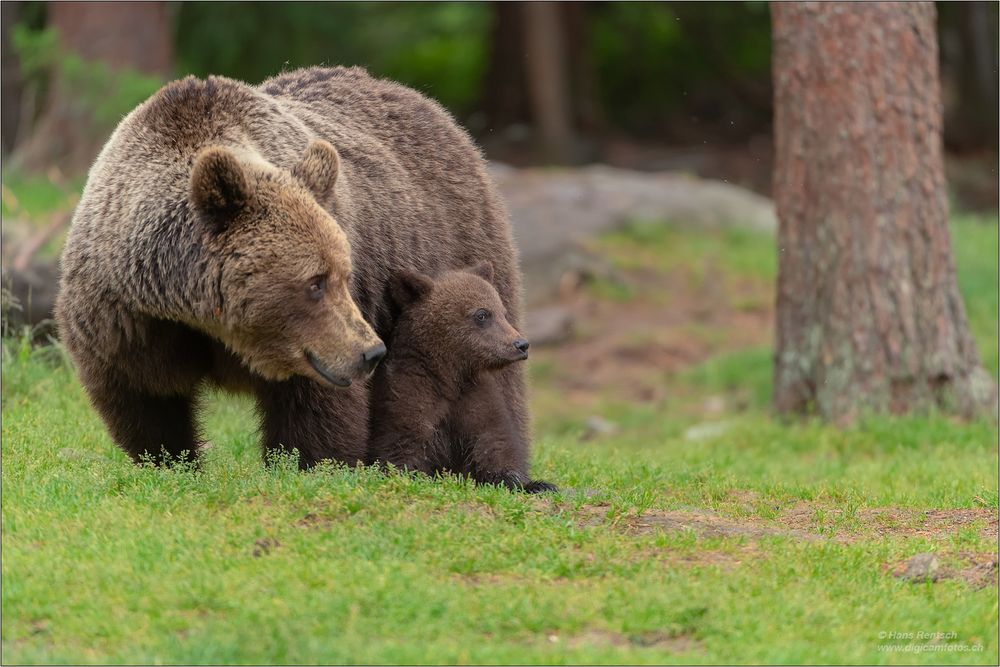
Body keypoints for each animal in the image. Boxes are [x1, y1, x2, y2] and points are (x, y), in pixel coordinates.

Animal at [55, 68, 548, 490]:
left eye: (344, 274)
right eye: (315, 281)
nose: (372, 351)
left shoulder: (316, 345)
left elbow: (318, 411)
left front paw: (310, 466)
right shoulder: (128, 320)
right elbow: (145, 399)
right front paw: (171, 462)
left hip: (460, 254)